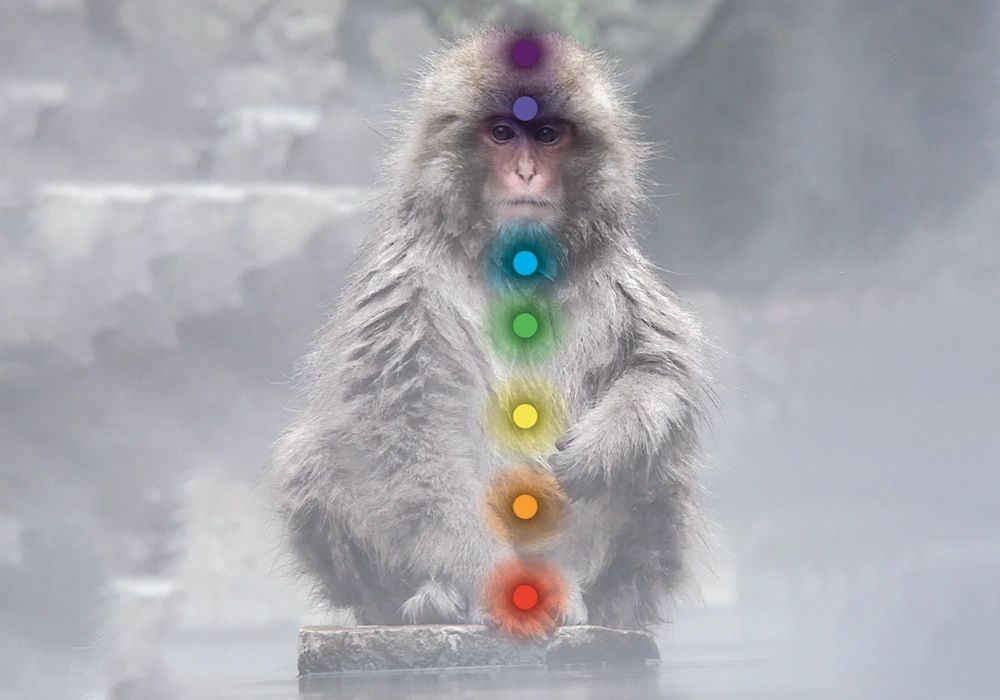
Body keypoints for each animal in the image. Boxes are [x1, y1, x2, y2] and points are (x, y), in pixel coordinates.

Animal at [267, 28, 714, 631]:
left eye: (547, 135)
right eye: (502, 133)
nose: (526, 172)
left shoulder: (614, 273)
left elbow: (658, 366)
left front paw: (601, 446)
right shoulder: (407, 281)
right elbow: (408, 426)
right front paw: (495, 584)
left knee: (662, 464)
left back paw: (613, 600)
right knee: (315, 456)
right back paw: (423, 599)